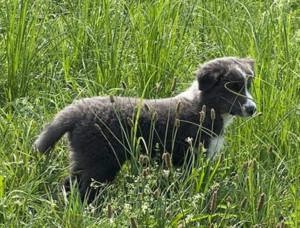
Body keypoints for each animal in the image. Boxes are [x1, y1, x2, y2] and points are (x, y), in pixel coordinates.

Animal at [34, 56, 255, 201]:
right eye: (231, 87)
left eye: (247, 85)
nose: (252, 109)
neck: (204, 107)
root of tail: (78, 109)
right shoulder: (190, 157)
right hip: (100, 161)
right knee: (84, 188)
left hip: (85, 158)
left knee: (69, 184)